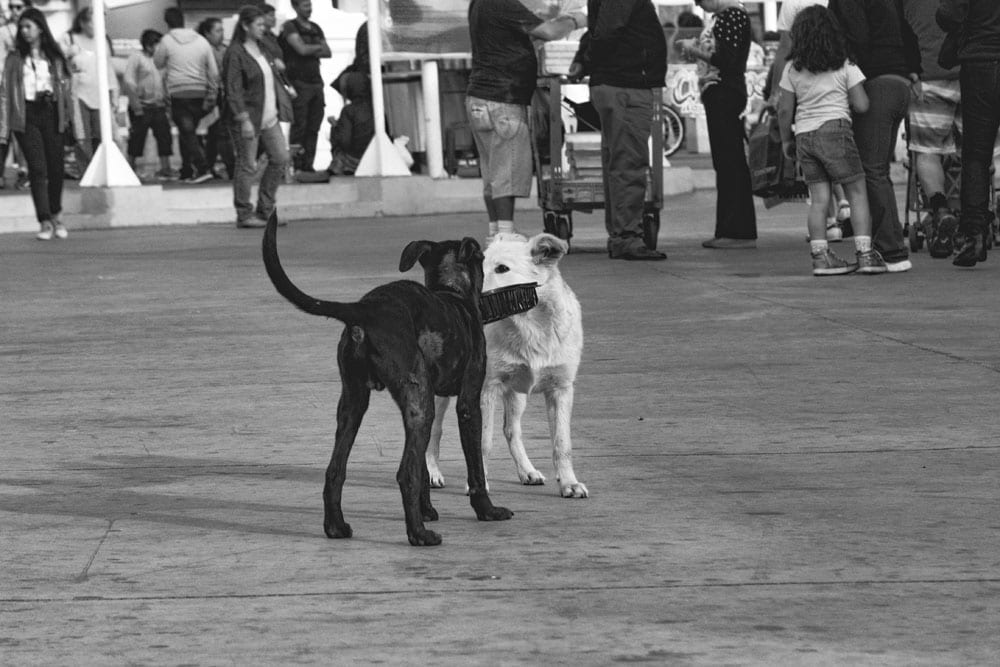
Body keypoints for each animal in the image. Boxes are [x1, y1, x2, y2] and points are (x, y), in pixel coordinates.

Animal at [262, 211, 512, 544]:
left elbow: (424, 463)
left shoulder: (426, 400)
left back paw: (336, 526)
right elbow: (474, 468)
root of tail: (366, 309)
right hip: (416, 404)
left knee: (335, 470)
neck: (451, 292)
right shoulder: (468, 403)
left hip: (355, 403)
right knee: (405, 473)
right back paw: (419, 534)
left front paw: (427, 508)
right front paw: (486, 510)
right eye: (483, 260)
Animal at [428, 232, 584, 498]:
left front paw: (569, 483)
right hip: (442, 389)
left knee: (511, 430)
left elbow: (562, 443)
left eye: (502, 269)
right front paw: (478, 484)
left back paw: (527, 471)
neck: (530, 325)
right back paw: (432, 472)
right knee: (433, 431)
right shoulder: (485, 389)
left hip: (517, 393)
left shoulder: (561, 389)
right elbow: (483, 442)